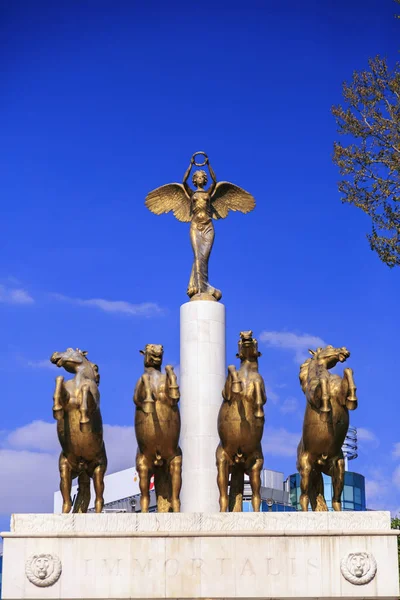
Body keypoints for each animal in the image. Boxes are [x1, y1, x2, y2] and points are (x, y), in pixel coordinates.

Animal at [50, 350, 107, 512]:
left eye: (70, 350)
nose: (54, 356)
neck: (78, 382)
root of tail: (83, 467)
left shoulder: (93, 401)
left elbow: (86, 392)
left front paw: (84, 422)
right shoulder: (66, 397)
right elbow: (59, 381)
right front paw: (56, 410)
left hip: (98, 470)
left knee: (99, 499)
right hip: (67, 470)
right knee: (67, 500)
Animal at [136, 344, 183, 512]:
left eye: (160, 346)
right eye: (149, 346)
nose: (160, 349)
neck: (155, 376)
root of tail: (159, 461)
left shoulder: (172, 398)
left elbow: (174, 395)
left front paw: (170, 371)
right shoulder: (137, 395)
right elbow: (140, 397)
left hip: (175, 460)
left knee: (175, 495)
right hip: (143, 465)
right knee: (144, 496)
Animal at [214, 332, 268, 510]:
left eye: (255, 340)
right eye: (239, 340)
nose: (246, 334)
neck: (246, 374)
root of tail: (238, 460)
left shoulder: (261, 386)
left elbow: (258, 392)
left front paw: (258, 412)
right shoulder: (226, 394)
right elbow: (230, 377)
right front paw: (237, 384)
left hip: (255, 465)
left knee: (256, 496)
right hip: (223, 462)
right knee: (223, 495)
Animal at [296, 346, 356, 510]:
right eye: (328, 347)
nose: (344, 351)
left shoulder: (340, 394)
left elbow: (348, 372)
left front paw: (352, 400)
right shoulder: (314, 397)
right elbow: (322, 387)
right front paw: (326, 409)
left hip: (336, 468)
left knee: (336, 498)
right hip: (306, 469)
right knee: (303, 497)